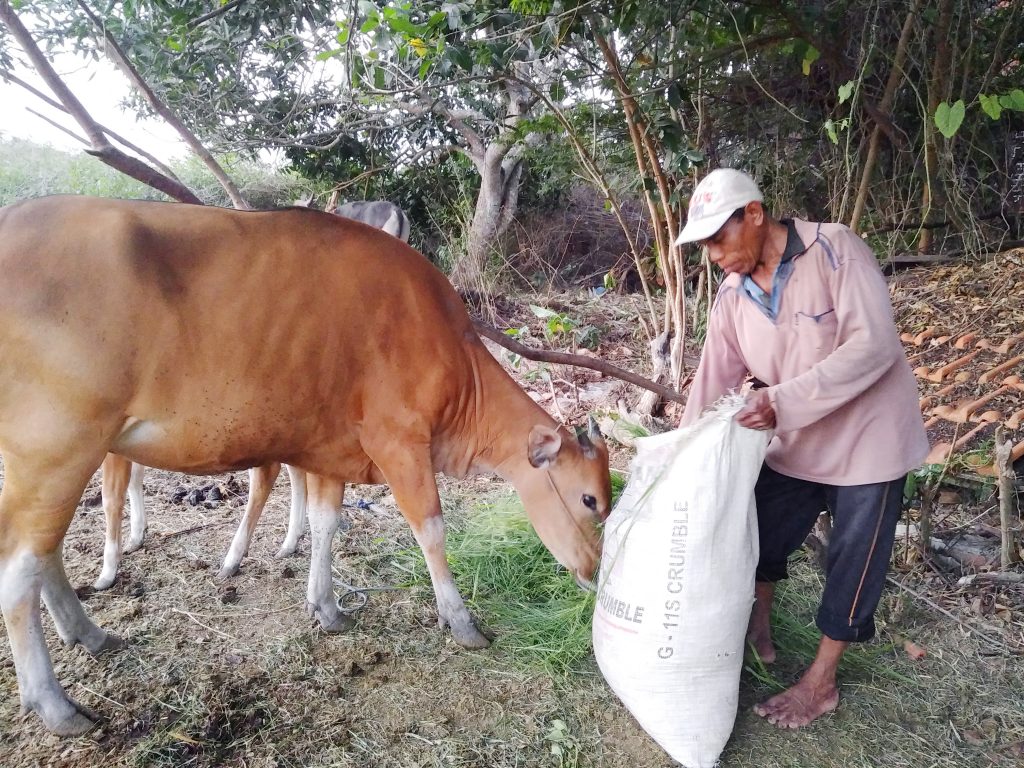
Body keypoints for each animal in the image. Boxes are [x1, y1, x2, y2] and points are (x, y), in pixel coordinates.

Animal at [0, 195, 606, 737]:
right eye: (590, 499)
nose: (594, 572)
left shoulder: (331, 450)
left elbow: (324, 524)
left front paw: (327, 606)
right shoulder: (399, 441)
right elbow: (431, 530)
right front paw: (460, 621)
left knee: (45, 553)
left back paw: (90, 634)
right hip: (57, 445)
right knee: (20, 569)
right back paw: (55, 704)